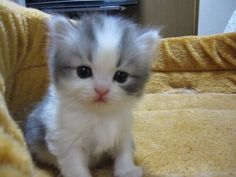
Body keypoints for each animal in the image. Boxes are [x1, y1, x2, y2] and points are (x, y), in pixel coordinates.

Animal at [24, 14, 159, 177]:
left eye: (121, 76)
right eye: (83, 71)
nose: (102, 89)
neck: (99, 115)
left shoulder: (123, 130)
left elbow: (124, 150)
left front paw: (127, 170)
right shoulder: (65, 141)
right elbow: (75, 166)